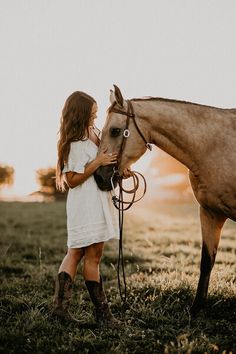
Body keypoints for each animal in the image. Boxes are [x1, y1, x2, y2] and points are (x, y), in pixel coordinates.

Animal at [93, 84, 235, 314]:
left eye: (114, 130)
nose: (99, 177)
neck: (213, 147)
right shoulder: (210, 213)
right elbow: (207, 261)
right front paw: (196, 309)